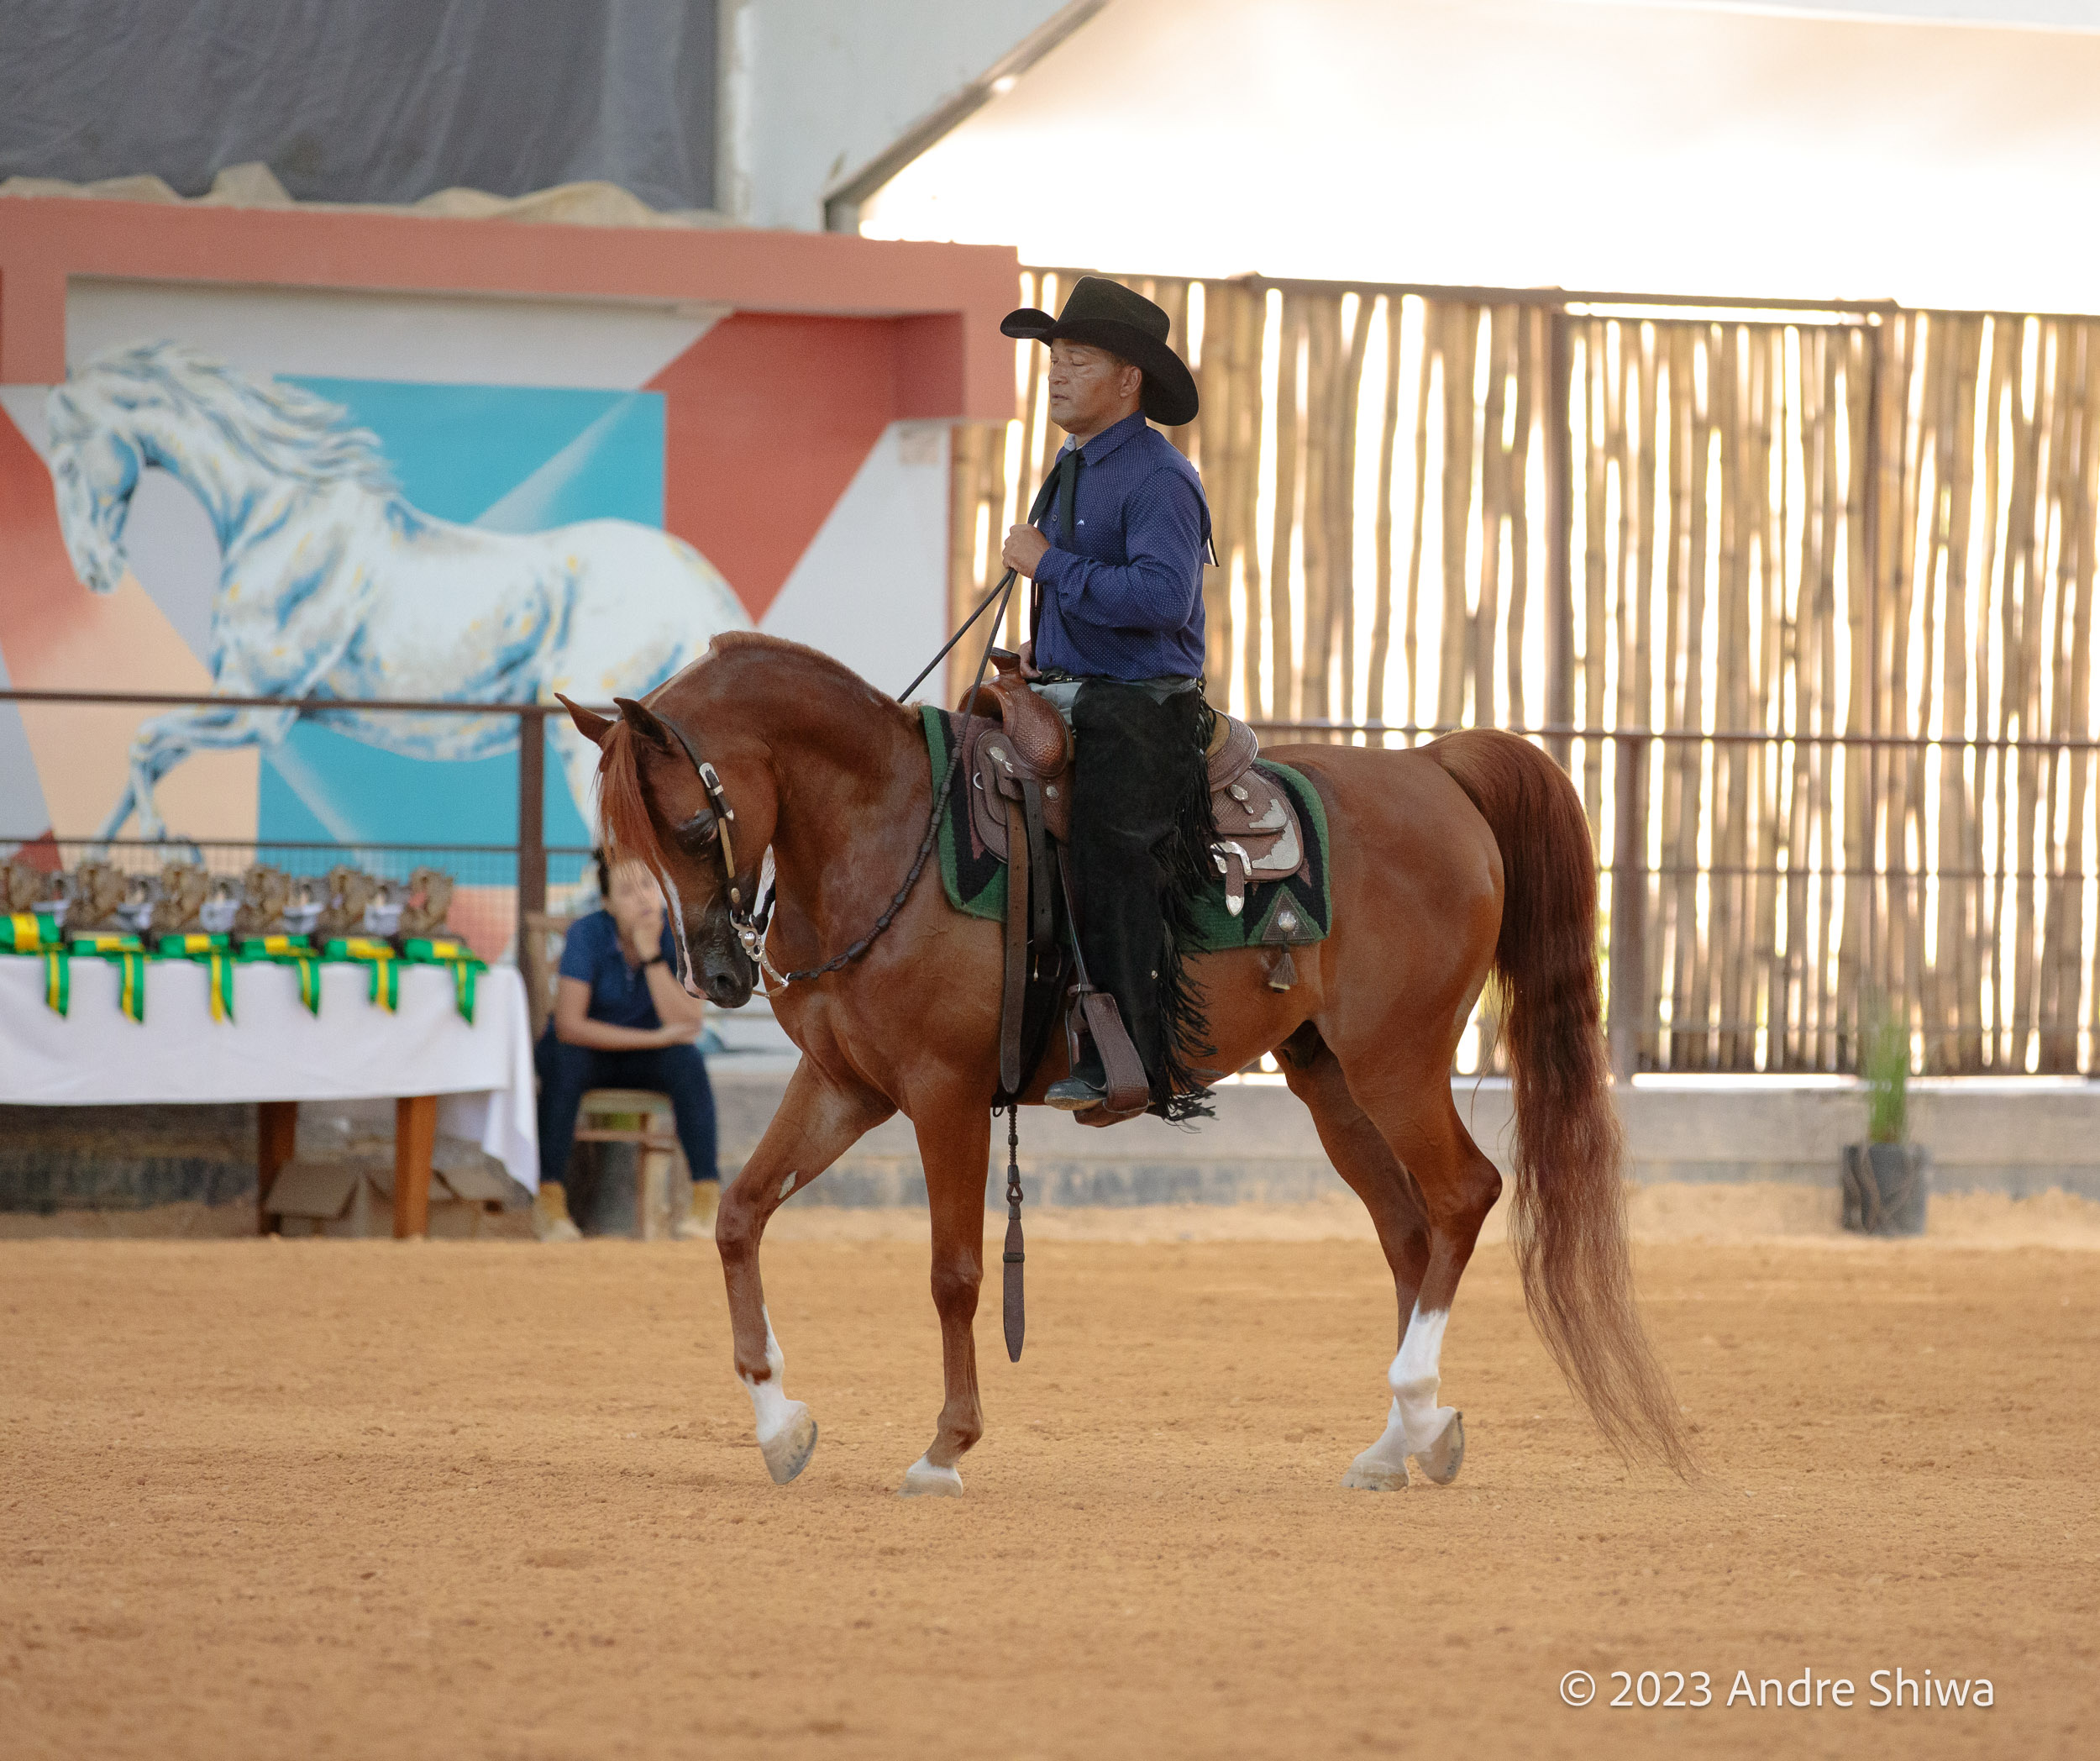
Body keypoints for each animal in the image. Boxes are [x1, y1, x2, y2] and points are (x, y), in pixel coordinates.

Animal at [563, 643, 1688, 1496]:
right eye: (628, 845)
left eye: (692, 825)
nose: (713, 973)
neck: (884, 833)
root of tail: (1435, 767)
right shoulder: (847, 1085)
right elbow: (738, 1214)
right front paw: (780, 1425)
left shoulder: (942, 1093)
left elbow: (954, 1272)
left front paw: (945, 1446)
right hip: (1329, 1076)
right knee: (1408, 1229)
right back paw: (1399, 1442)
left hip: (1397, 1058)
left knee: (1462, 1195)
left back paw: (1416, 1406)